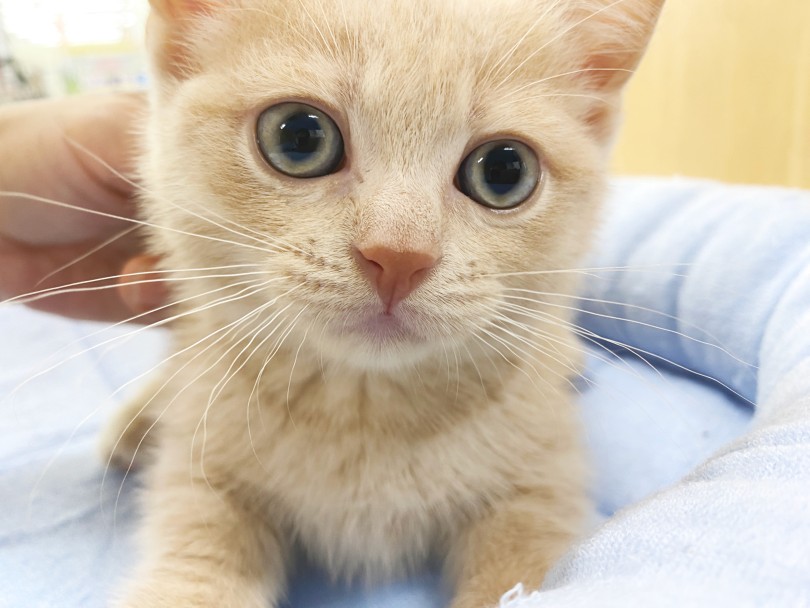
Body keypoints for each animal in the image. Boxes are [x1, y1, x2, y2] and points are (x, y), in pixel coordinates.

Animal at [102, 1, 664, 608]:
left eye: (505, 171)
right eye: (299, 137)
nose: (398, 256)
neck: (366, 412)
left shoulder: (539, 482)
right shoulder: (202, 469)